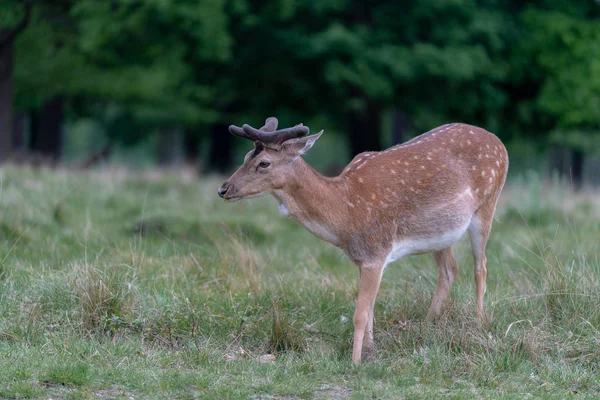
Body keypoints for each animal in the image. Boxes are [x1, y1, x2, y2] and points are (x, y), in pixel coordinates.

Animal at [218, 116, 508, 362]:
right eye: (245, 156)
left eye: (264, 163)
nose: (223, 189)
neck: (346, 213)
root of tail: (499, 142)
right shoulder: (363, 258)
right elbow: (370, 309)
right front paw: (370, 350)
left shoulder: (375, 252)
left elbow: (359, 313)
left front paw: (356, 360)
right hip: (441, 232)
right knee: (450, 269)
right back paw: (427, 325)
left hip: (487, 204)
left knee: (481, 267)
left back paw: (478, 323)